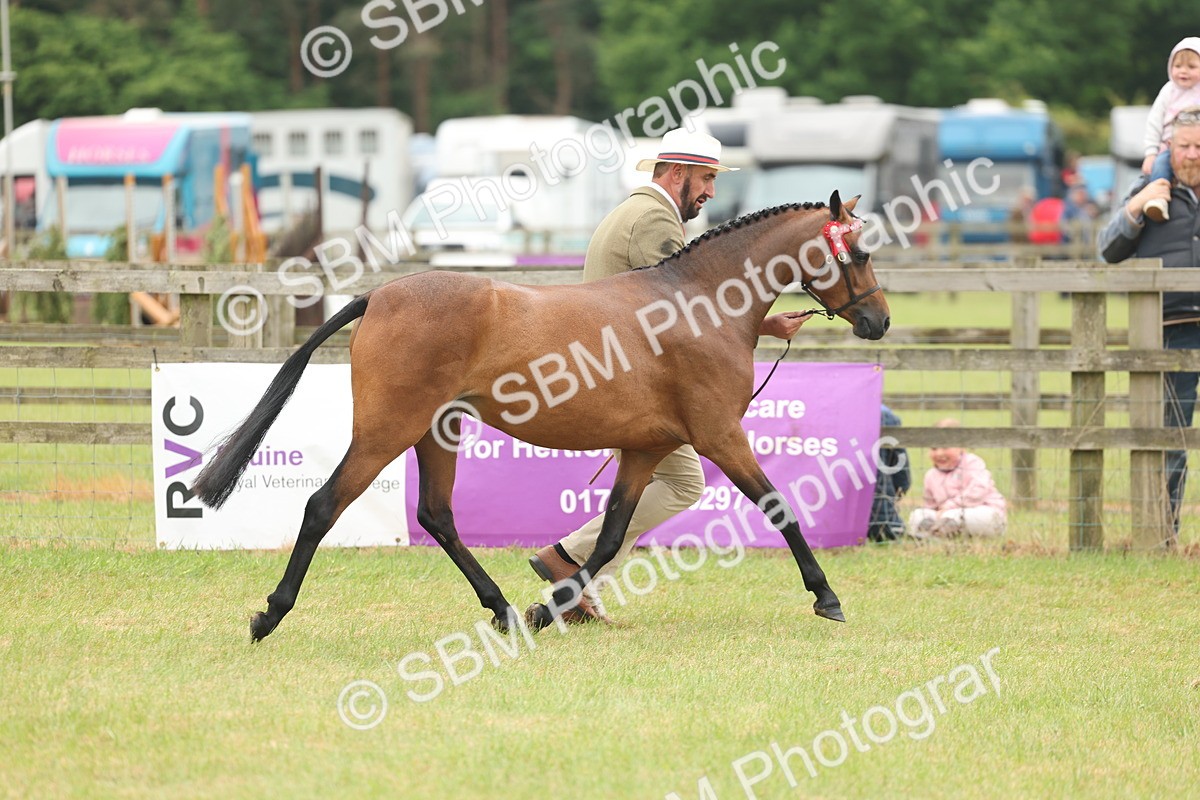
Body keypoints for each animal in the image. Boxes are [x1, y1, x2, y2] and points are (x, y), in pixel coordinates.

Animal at [192, 191, 890, 642]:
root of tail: (381, 294)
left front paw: (549, 607)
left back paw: (502, 610)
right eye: (857, 253)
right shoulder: (719, 435)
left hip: (437, 431)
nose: (879, 321)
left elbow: (609, 536)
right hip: (387, 432)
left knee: (437, 515)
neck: (699, 303)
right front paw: (826, 596)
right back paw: (270, 615)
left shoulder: (645, 449)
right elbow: (779, 507)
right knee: (323, 506)